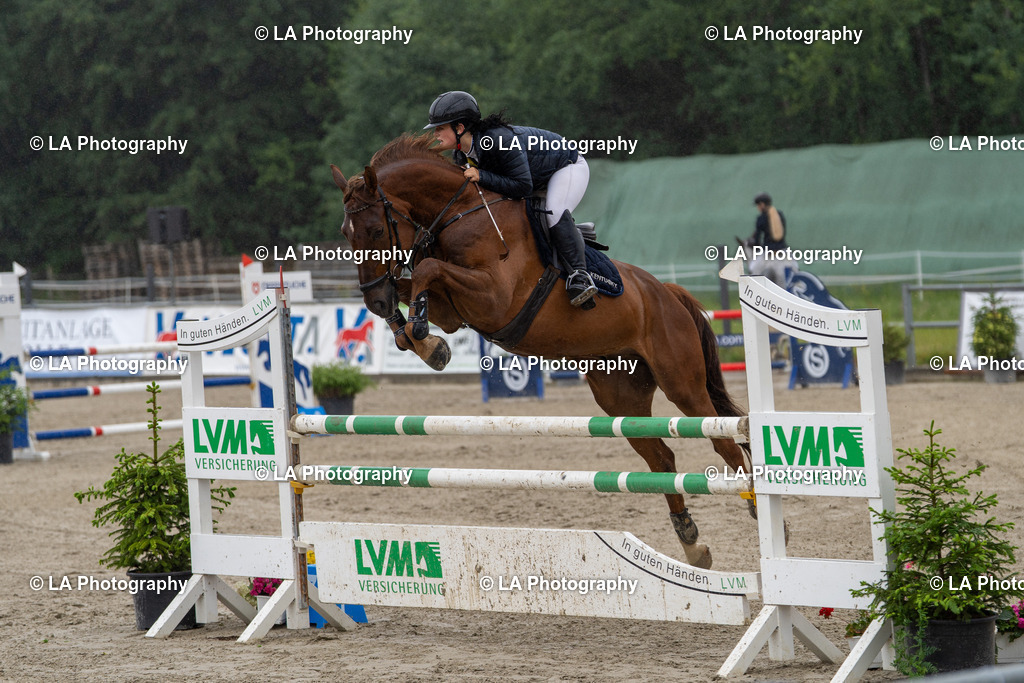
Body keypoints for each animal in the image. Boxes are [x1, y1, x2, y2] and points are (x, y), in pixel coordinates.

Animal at [330, 134, 753, 569]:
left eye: (375, 229)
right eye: (346, 233)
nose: (374, 300)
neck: (458, 214)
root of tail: (666, 292)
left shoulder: (494, 299)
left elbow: (428, 270)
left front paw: (421, 336)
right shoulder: (455, 310)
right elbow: (418, 284)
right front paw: (419, 339)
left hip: (681, 383)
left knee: (722, 440)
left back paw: (755, 505)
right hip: (620, 396)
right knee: (661, 459)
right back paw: (692, 543)